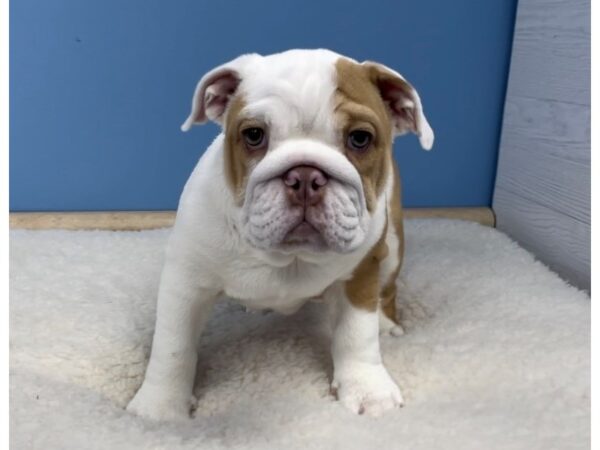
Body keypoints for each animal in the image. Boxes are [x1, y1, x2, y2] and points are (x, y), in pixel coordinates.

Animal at [129, 50, 434, 422]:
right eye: (253, 135)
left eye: (360, 138)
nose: (305, 176)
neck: (290, 257)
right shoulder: (185, 281)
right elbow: (174, 345)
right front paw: (160, 407)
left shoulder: (361, 273)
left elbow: (357, 334)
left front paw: (368, 389)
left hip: (390, 247)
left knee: (387, 291)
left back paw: (387, 325)